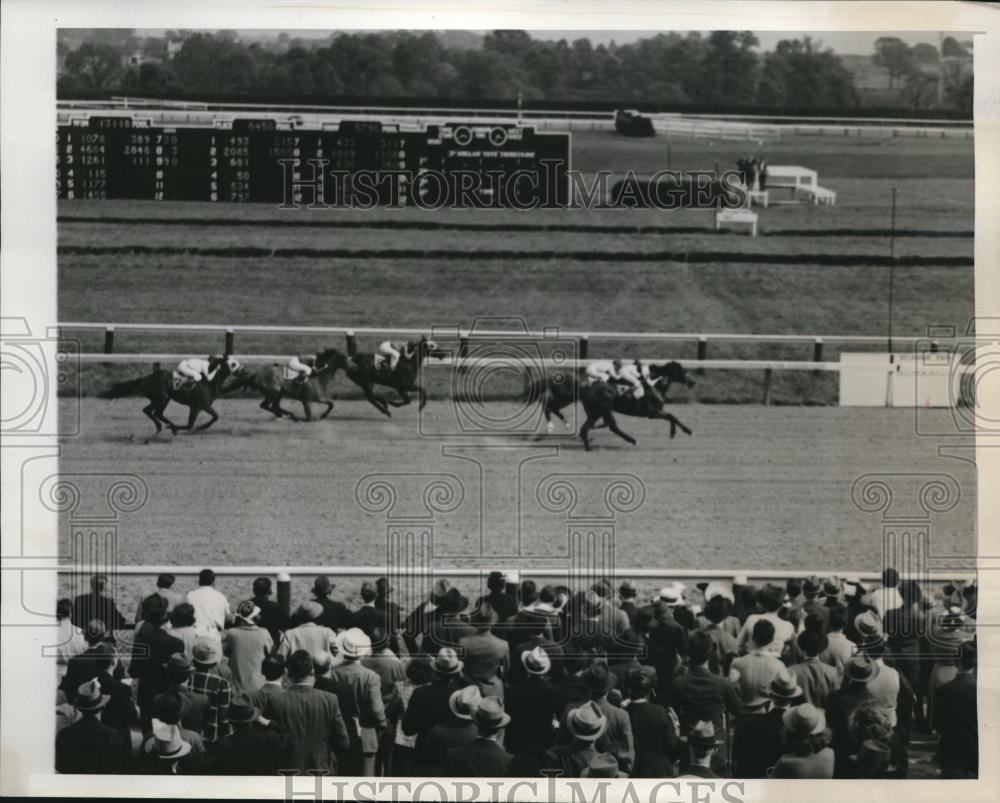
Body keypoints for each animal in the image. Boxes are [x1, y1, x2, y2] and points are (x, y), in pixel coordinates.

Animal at [98, 356, 243, 436]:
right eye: (233, 363)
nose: (243, 370)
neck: (209, 381)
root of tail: (144, 379)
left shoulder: (204, 406)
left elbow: (215, 416)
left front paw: (202, 427)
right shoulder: (197, 406)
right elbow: (190, 425)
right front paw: (196, 427)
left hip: (165, 398)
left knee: (156, 412)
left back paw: (164, 426)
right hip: (161, 397)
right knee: (149, 411)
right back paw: (163, 426)